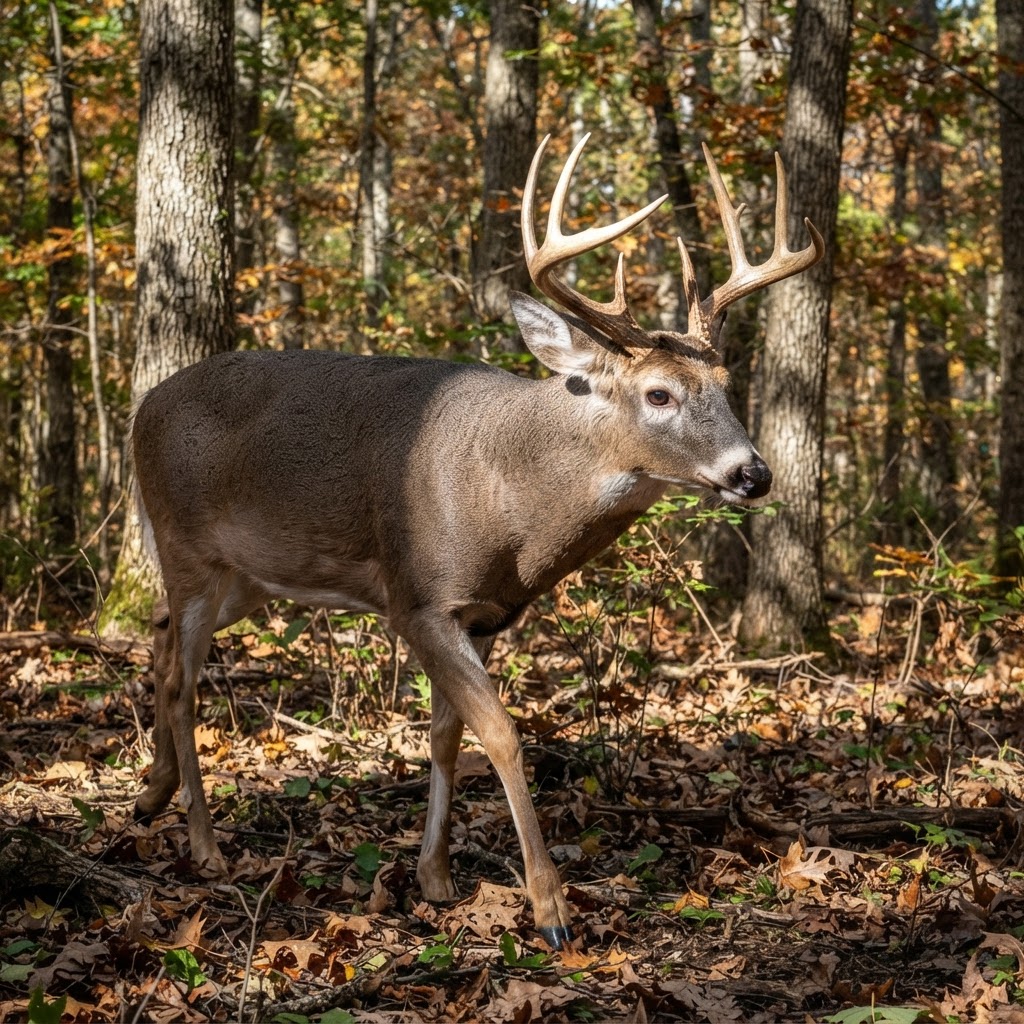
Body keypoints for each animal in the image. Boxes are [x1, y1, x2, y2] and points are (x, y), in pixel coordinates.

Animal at [129, 132, 823, 949]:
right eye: (659, 393)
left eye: (727, 385)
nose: (754, 473)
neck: (512, 511)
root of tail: (143, 406)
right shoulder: (419, 598)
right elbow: (500, 733)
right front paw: (550, 910)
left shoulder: (489, 614)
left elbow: (445, 734)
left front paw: (434, 877)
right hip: (189, 546)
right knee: (183, 679)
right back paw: (204, 845)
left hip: (247, 575)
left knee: (157, 632)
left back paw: (150, 794)